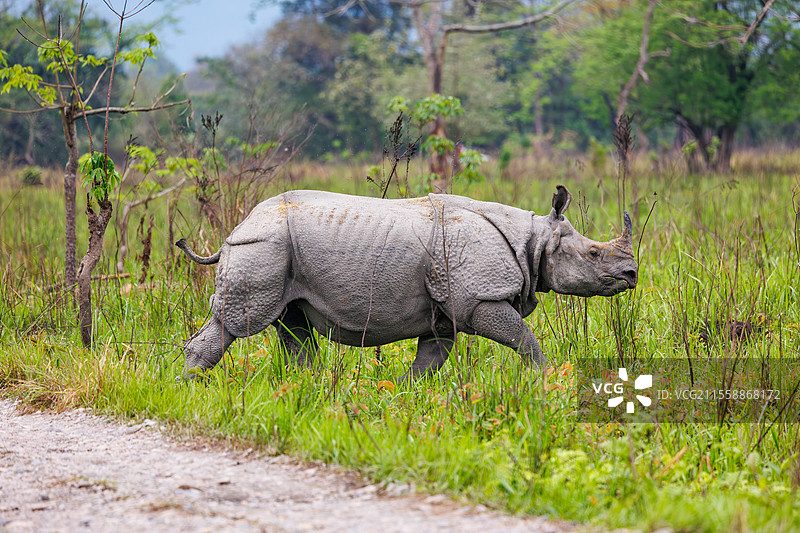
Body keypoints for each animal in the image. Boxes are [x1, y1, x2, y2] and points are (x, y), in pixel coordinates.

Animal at [176, 185, 637, 381]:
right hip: (263, 245)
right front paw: (546, 381)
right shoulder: (479, 299)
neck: (535, 239)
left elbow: (430, 360)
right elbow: (524, 339)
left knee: (292, 325)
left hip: (278, 248)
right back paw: (191, 387)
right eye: (593, 254)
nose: (632, 276)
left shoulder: (446, 312)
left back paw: (308, 388)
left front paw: (402, 393)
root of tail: (237, 227)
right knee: (237, 323)